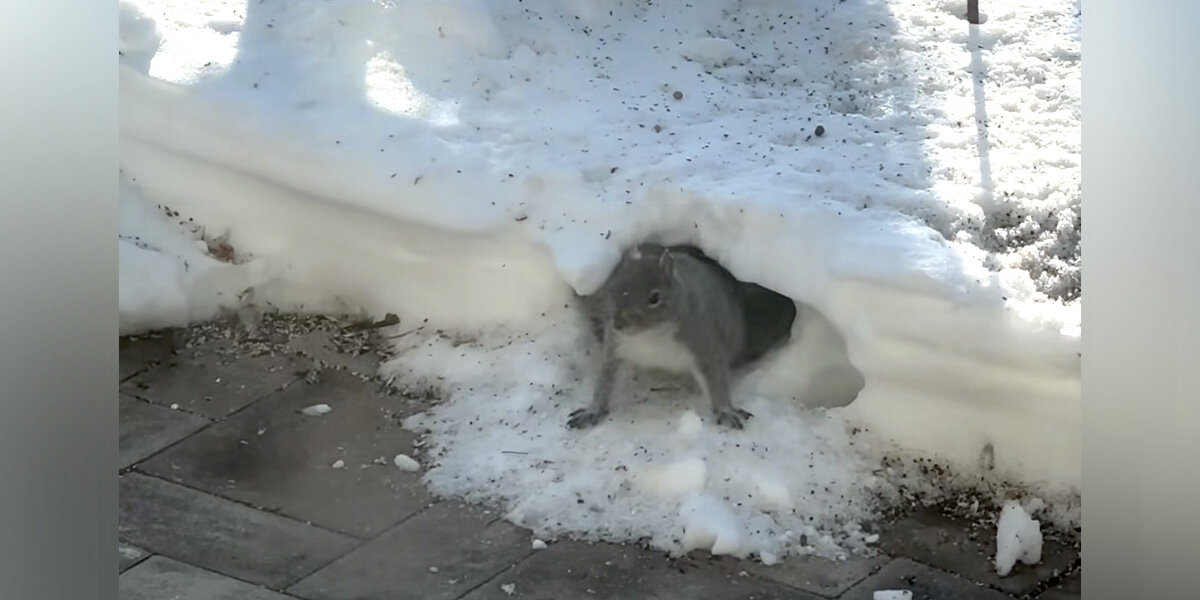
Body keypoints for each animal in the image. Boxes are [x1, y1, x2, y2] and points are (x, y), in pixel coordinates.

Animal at [569, 243, 797, 430]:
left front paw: (725, 410)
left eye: (655, 298)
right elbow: (605, 381)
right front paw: (593, 410)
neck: (650, 335)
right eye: (613, 288)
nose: (619, 323)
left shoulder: (702, 339)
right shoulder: (615, 345)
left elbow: (715, 377)